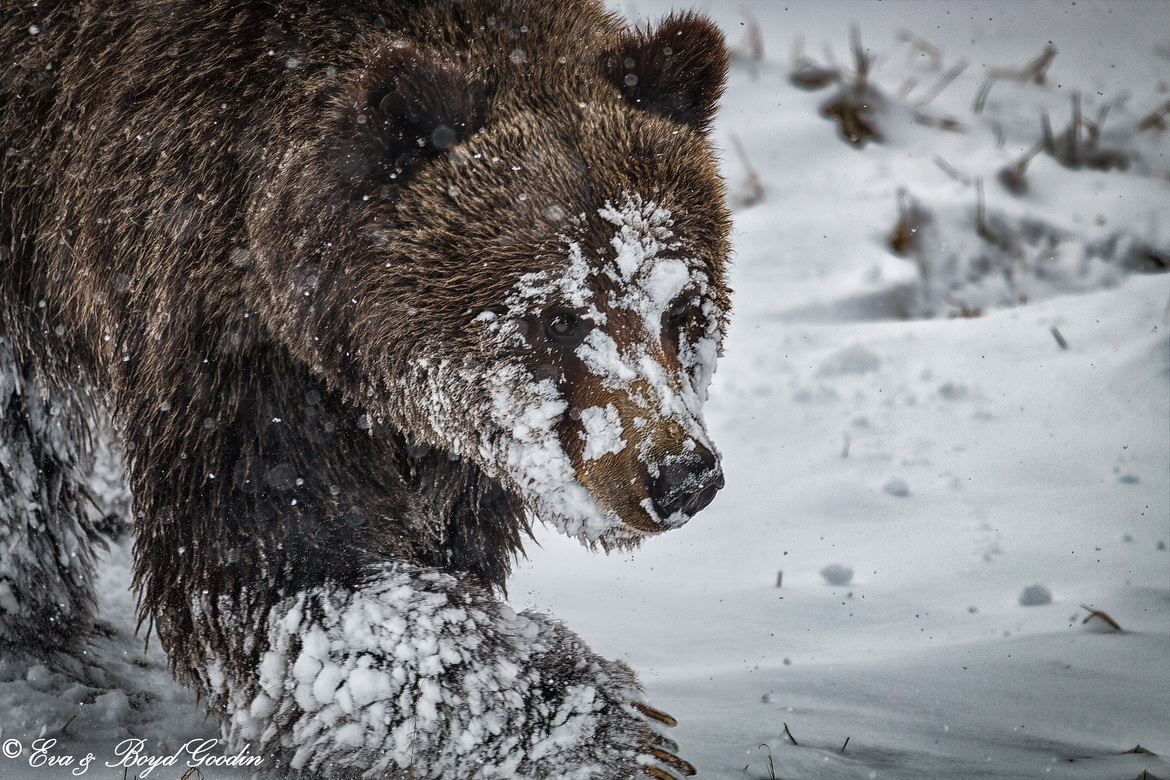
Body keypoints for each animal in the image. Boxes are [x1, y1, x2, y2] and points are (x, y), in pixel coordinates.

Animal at [0, 0, 731, 777]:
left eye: (680, 304)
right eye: (558, 318)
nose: (679, 473)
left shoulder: (449, 437)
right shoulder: (234, 352)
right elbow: (284, 566)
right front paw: (611, 737)